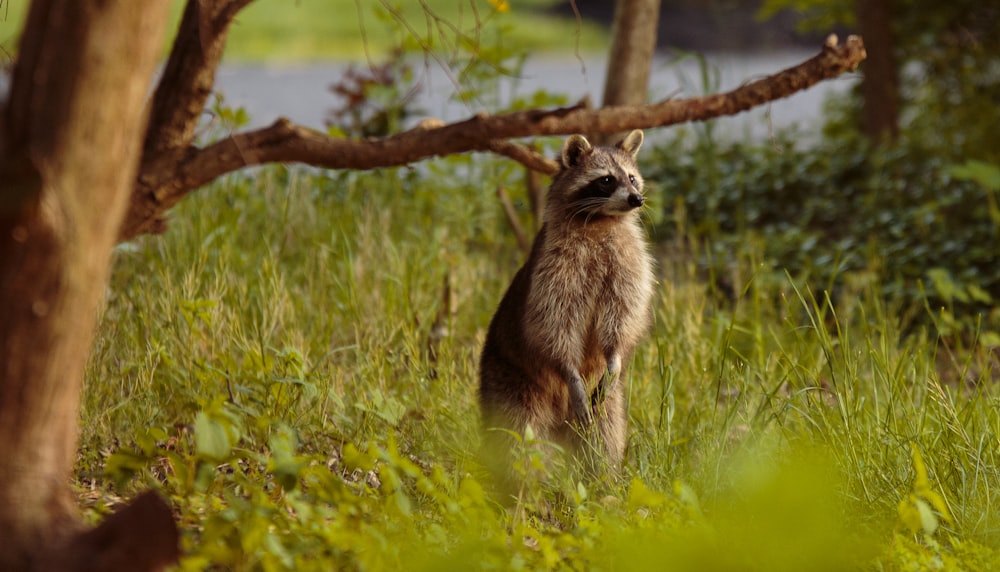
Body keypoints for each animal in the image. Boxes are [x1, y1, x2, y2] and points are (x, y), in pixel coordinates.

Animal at [478, 130, 656, 478]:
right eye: (606, 180)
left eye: (631, 178)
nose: (636, 199)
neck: (601, 220)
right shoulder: (555, 266)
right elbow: (553, 322)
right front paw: (568, 370)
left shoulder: (628, 260)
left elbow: (623, 314)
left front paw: (615, 355)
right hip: (509, 380)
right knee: (519, 435)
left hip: (605, 402)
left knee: (604, 431)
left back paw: (604, 478)